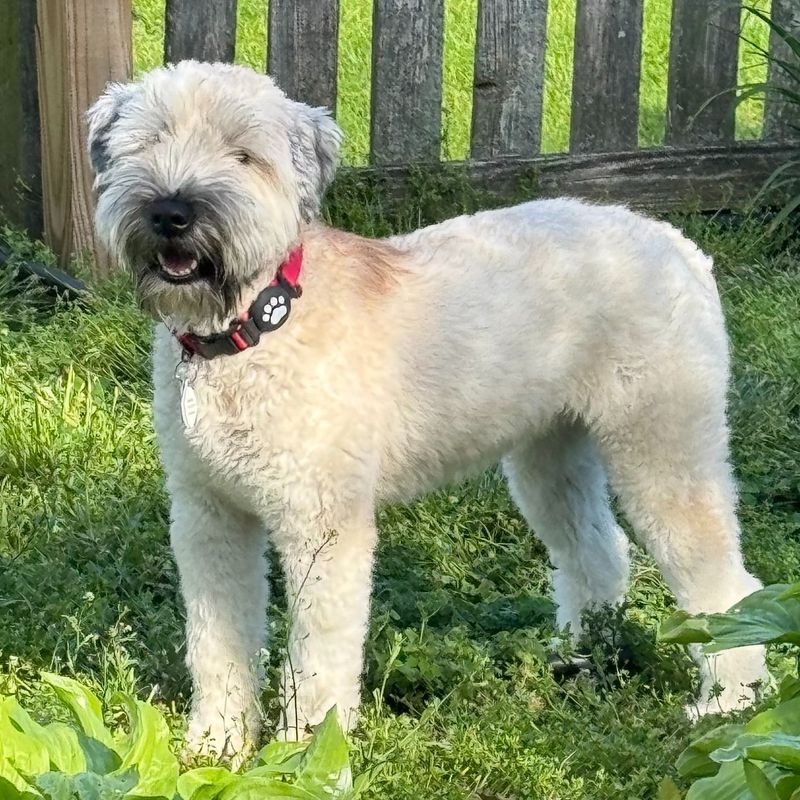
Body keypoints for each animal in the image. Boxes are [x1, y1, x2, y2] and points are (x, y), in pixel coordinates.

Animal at [87, 61, 768, 756]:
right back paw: (579, 659)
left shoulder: (322, 526)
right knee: (599, 553)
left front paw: (306, 756)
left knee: (728, 587)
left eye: (243, 156)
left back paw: (727, 702)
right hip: (550, 458)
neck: (254, 326)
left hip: (665, 451)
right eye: (148, 143)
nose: (172, 213)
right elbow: (217, 644)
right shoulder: (209, 516)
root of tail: (679, 244)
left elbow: (316, 660)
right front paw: (215, 746)